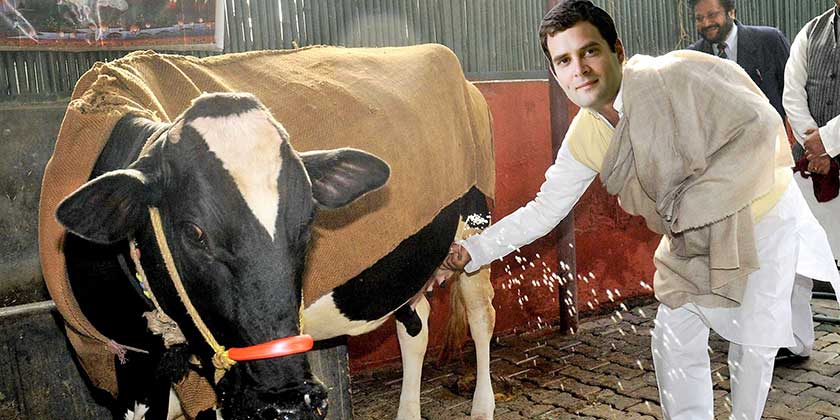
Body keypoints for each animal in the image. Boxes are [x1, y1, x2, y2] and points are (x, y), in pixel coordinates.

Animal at [53, 91, 496, 420]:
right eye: (194, 232)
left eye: (308, 220)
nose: (288, 400)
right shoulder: (133, 363)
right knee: (415, 325)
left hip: (475, 225)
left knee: (481, 318)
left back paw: (481, 407)